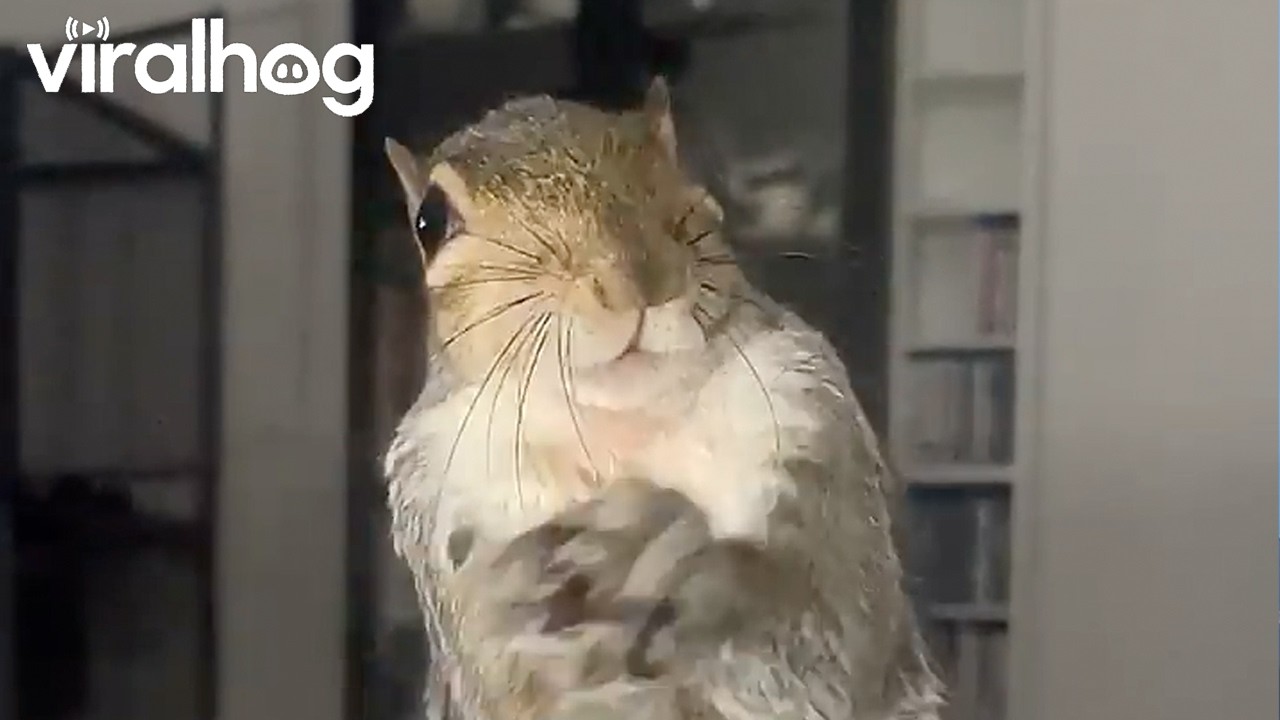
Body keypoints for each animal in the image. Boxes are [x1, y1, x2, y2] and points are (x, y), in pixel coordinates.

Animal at [382, 78, 944, 720]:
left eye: (675, 159)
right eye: (429, 220)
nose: (634, 278)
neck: (625, 424)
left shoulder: (815, 421)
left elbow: (825, 610)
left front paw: (677, 561)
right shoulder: (443, 515)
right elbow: (508, 679)